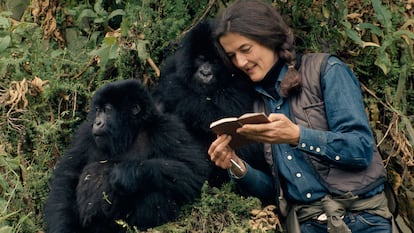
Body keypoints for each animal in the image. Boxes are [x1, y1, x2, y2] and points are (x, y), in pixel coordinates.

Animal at [44, 79, 210, 232]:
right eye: (98, 110)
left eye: (107, 110)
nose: (97, 122)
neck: (130, 131)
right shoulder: (84, 134)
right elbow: (66, 178)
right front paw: (63, 228)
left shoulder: (167, 128)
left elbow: (195, 171)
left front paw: (126, 173)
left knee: (156, 190)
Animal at [152, 20, 272, 187]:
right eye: (201, 58)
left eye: (215, 62)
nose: (205, 73)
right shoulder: (173, 64)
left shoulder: (241, 80)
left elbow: (221, 115)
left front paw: (173, 87)